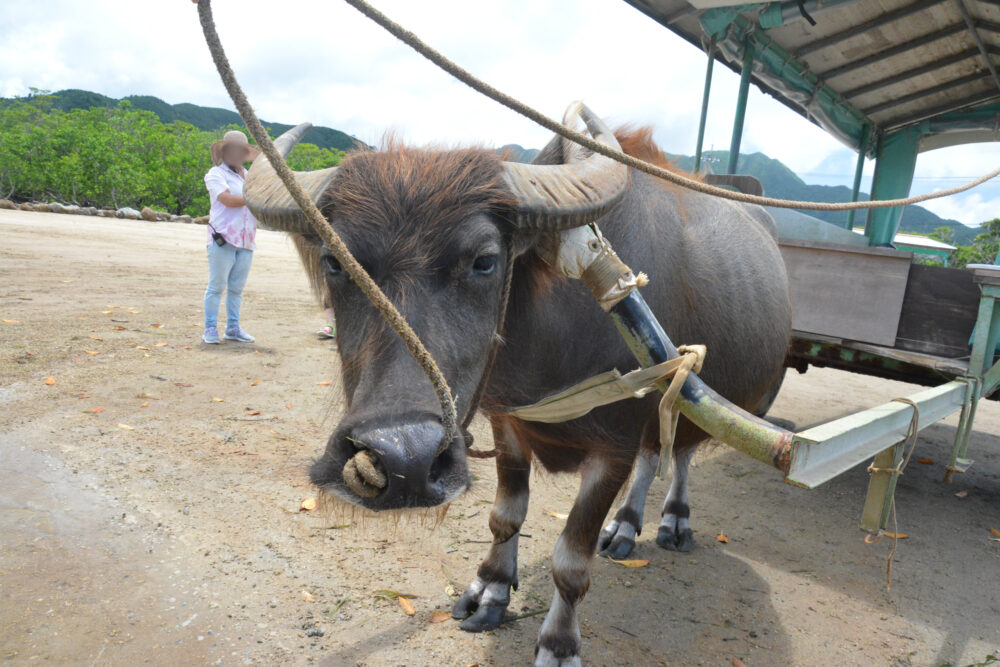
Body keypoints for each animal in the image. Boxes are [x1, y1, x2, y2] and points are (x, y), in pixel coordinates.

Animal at [242, 104, 788, 667]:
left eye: (485, 261)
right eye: (335, 261)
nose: (403, 461)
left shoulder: (612, 446)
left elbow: (572, 558)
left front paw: (558, 643)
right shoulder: (508, 424)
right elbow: (506, 515)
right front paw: (491, 590)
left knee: (679, 452)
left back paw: (674, 520)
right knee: (656, 452)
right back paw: (625, 526)